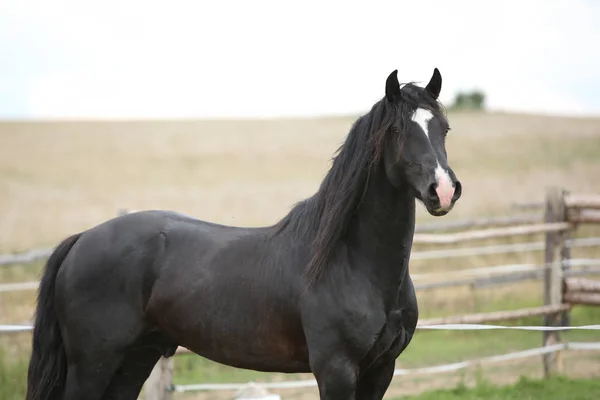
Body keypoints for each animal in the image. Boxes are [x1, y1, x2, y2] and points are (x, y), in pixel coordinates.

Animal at [25, 67, 462, 398]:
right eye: (397, 132)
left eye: (443, 128)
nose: (442, 190)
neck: (352, 263)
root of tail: (83, 239)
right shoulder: (335, 370)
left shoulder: (381, 370)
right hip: (93, 364)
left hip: (134, 359)